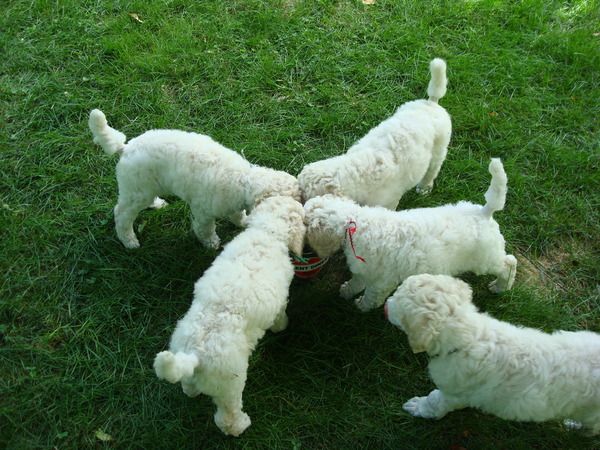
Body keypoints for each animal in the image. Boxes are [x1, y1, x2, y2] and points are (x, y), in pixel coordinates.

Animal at [88, 109, 300, 249]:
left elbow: (237, 215)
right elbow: (204, 229)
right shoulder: (203, 211)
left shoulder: (231, 204)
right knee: (121, 214)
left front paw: (242, 222)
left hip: (145, 188)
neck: (242, 180)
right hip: (136, 191)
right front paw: (211, 243)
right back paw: (129, 240)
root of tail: (125, 148)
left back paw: (158, 204)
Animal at [153, 196, 305, 436]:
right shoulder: (281, 299)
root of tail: (195, 356)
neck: (265, 232)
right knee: (227, 416)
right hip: (230, 387)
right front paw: (282, 327)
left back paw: (191, 391)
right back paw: (240, 425)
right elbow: (280, 315)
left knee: (188, 385)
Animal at [298, 58, 451, 209]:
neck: (351, 172)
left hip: (439, 148)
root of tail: (431, 103)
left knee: (432, 170)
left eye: (306, 197)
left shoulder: (387, 200)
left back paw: (424, 188)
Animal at [304, 158, 517, 311]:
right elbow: (356, 282)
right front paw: (346, 292)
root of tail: (484, 212)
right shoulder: (365, 270)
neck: (354, 222)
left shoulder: (381, 281)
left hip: (486, 259)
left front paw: (361, 306)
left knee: (509, 263)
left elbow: (372, 296)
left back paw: (500, 286)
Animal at [385, 273, 600, 435]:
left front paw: (417, 407)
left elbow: (434, 401)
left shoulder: (454, 393)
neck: (469, 337)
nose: (386, 304)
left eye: (396, 299)